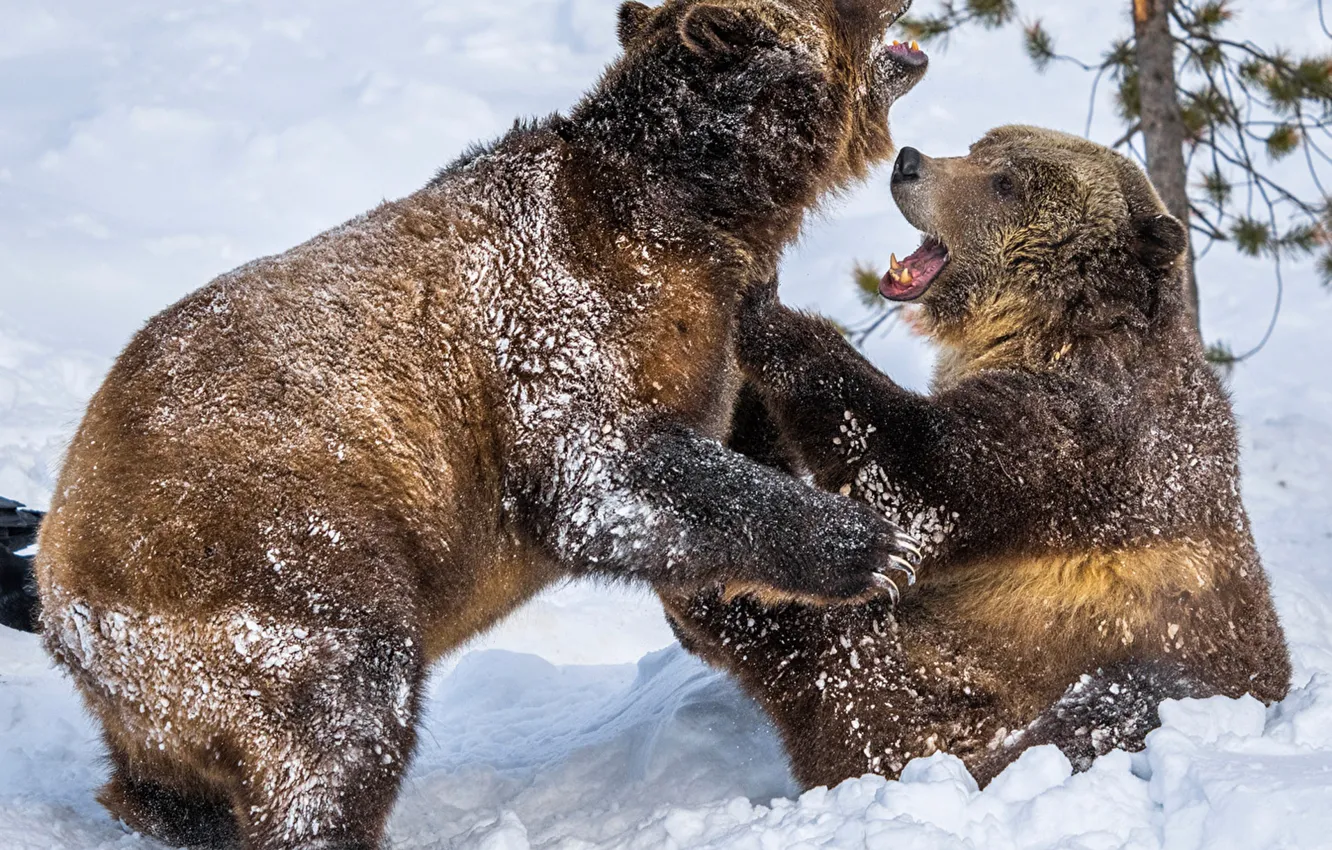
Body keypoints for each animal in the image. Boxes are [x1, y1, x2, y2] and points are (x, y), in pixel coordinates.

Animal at [34, 3, 930, 848]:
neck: (699, 203)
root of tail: (59, 589)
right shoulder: (569, 315)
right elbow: (603, 475)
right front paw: (874, 545)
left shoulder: (709, 331)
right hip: (258, 559)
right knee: (342, 710)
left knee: (170, 769)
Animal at [664, 125, 1292, 790]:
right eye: (981, 146)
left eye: (1006, 182)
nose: (909, 163)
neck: (1041, 328)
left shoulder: (1086, 434)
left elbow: (921, 473)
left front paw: (768, 309)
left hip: (1037, 670)